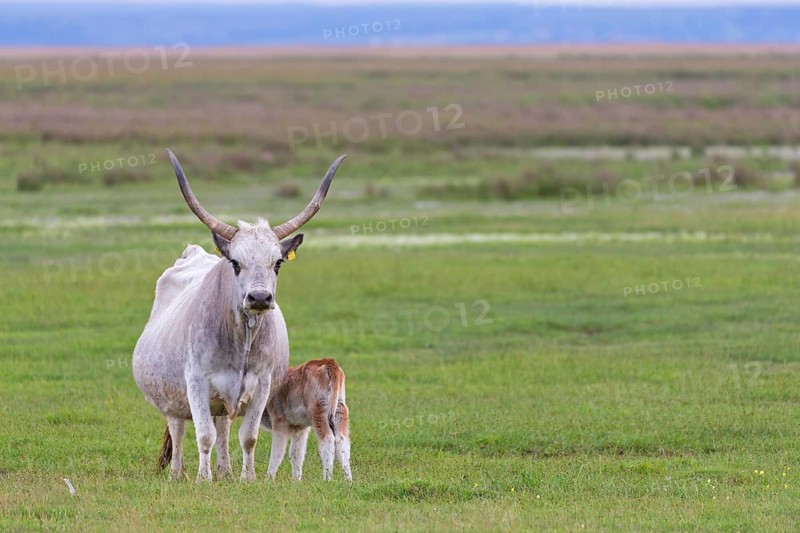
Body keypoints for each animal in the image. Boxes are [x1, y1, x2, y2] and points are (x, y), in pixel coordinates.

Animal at [133, 149, 346, 482]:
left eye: (278, 263)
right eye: (235, 262)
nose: (259, 298)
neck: (242, 338)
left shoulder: (262, 386)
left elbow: (248, 436)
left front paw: (247, 478)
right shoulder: (196, 382)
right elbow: (203, 434)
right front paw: (203, 479)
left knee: (223, 425)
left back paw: (226, 471)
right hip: (173, 396)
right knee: (179, 428)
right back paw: (179, 473)